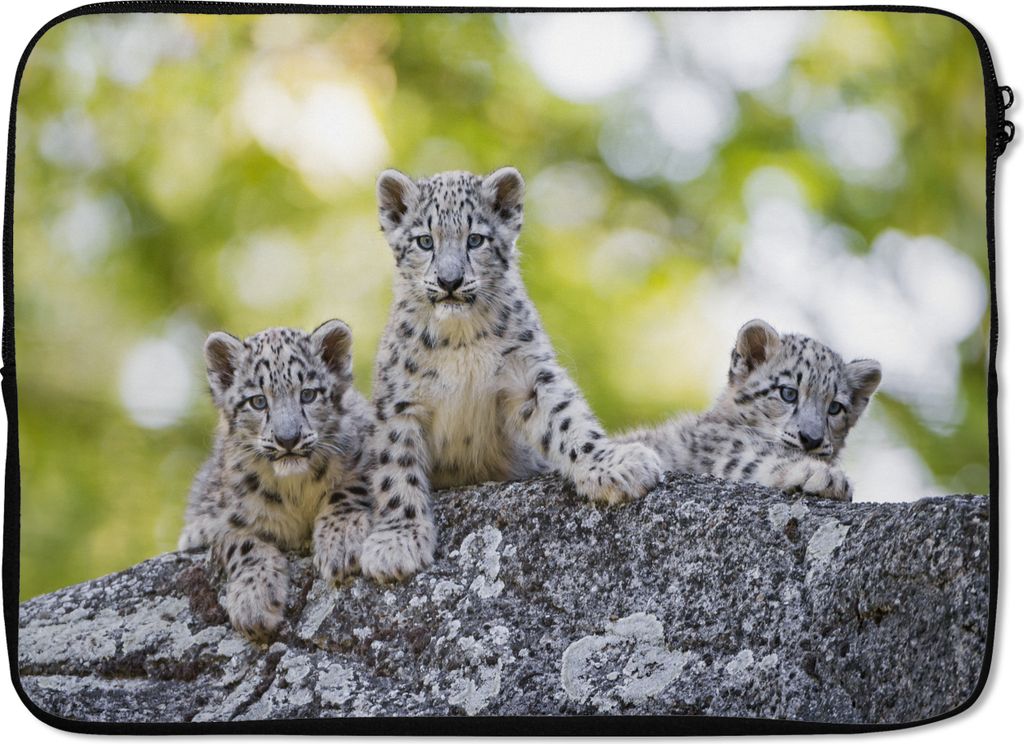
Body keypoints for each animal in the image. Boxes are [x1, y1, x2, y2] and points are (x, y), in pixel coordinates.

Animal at [178, 320, 376, 641]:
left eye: (308, 394)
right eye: (258, 401)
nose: (288, 439)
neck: (295, 489)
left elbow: (350, 486)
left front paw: (341, 542)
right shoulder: (219, 518)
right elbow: (239, 541)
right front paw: (253, 603)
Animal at [359, 166, 664, 582]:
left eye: (475, 239)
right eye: (424, 241)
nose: (450, 281)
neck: (460, 339)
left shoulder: (530, 374)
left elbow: (568, 420)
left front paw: (614, 464)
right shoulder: (400, 401)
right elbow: (396, 468)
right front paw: (396, 542)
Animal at [616, 319, 881, 502]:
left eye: (835, 407)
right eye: (788, 393)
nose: (811, 438)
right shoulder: (723, 452)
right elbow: (755, 460)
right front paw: (828, 477)